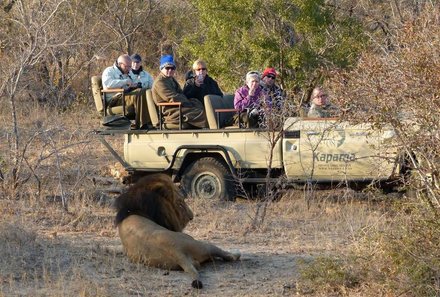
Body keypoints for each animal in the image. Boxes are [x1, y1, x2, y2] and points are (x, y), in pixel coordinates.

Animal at [113, 172, 241, 288]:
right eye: (180, 203)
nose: (191, 217)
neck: (134, 210)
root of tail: (177, 253)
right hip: (201, 244)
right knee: (226, 255)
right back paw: (236, 253)